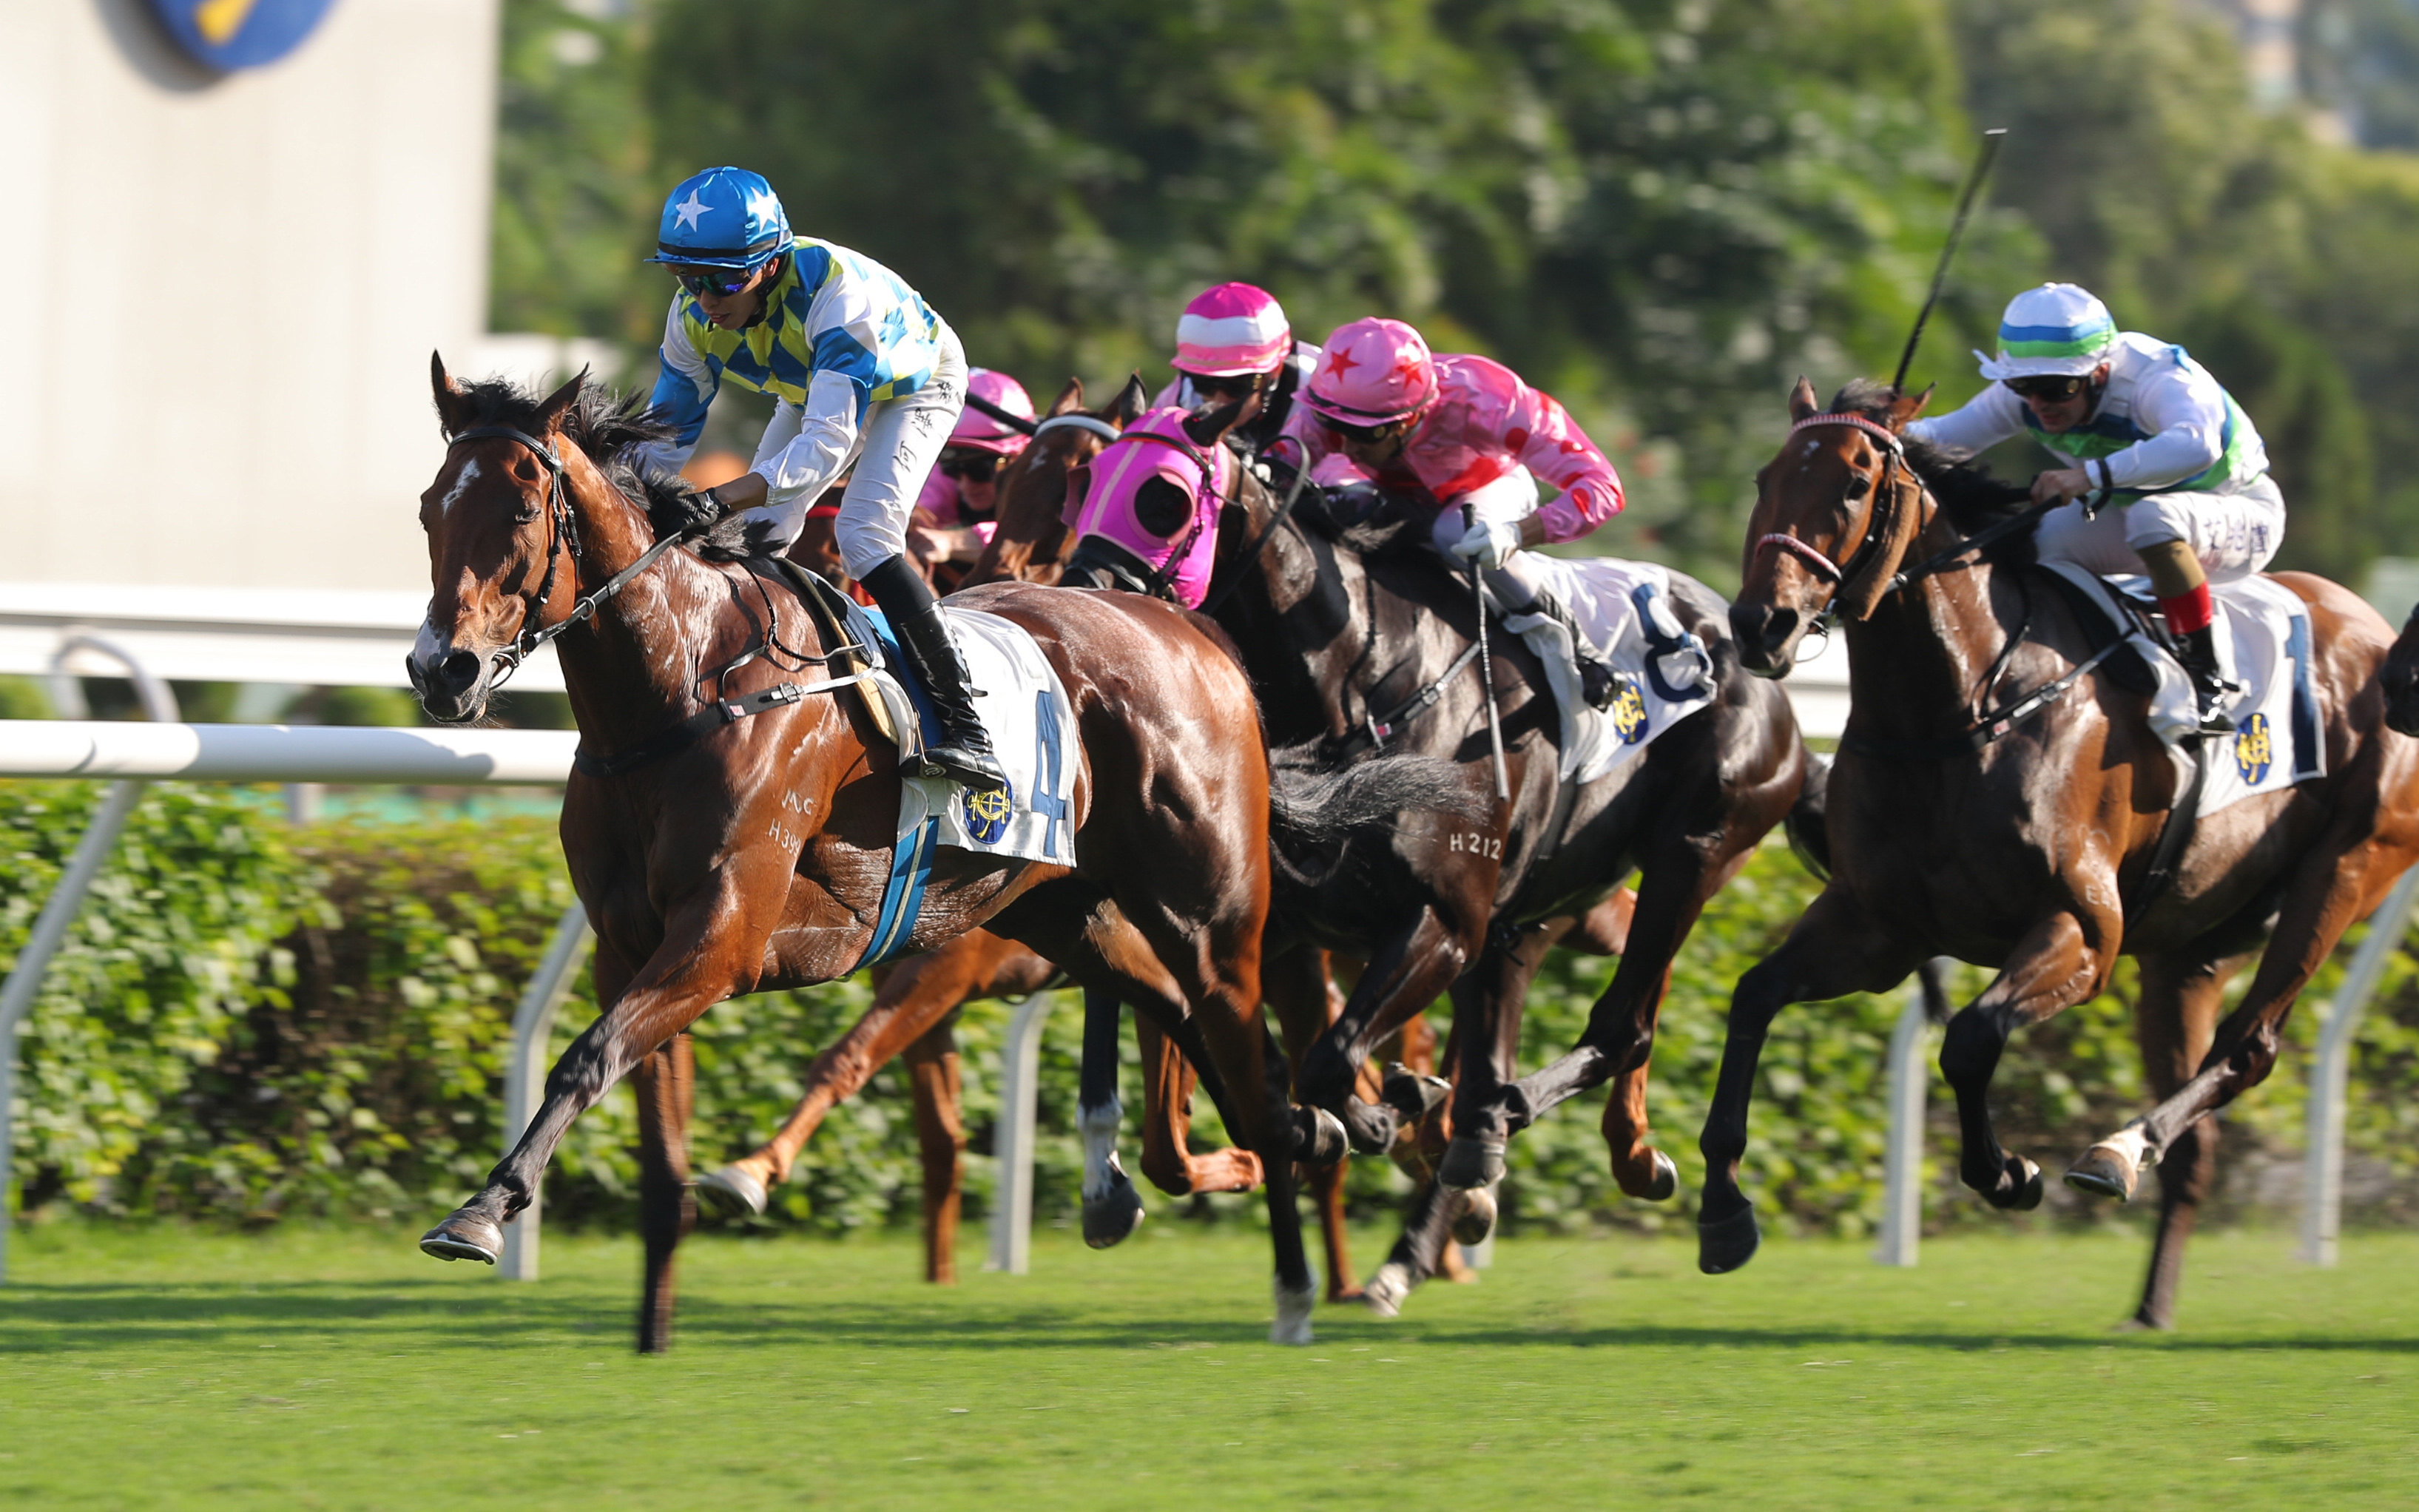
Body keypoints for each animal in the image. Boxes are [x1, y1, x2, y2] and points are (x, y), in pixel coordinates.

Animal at [406, 362, 1374, 1345]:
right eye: (427, 509)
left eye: (525, 510)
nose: (442, 669)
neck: (681, 691)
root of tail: (1193, 633)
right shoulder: (628, 943)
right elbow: (653, 1141)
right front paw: (651, 1327)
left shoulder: (724, 938)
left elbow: (587, 1057)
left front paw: (482, 1211)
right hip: (1069, 914)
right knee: (1182, 1016)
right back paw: (1309, 1136)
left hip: (1213, 918)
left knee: (1241, 1048)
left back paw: (1301, 1272)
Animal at [1722, 377, 2419, 1316]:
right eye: (1766, 477)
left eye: (1855, 483)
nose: (1762, 622)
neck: (1961, 707)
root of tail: (2378, 632)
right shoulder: (1879, 926)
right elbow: (1754, 997)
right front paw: (1722, 1209)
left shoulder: (2083, 928)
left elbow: (1971, 1036)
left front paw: (2009, 1173)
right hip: (2190, 948)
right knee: (2198, 1127)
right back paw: (2150, 1304)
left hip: (2344, 871)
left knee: (2249, 1046)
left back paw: (2118, 1151)